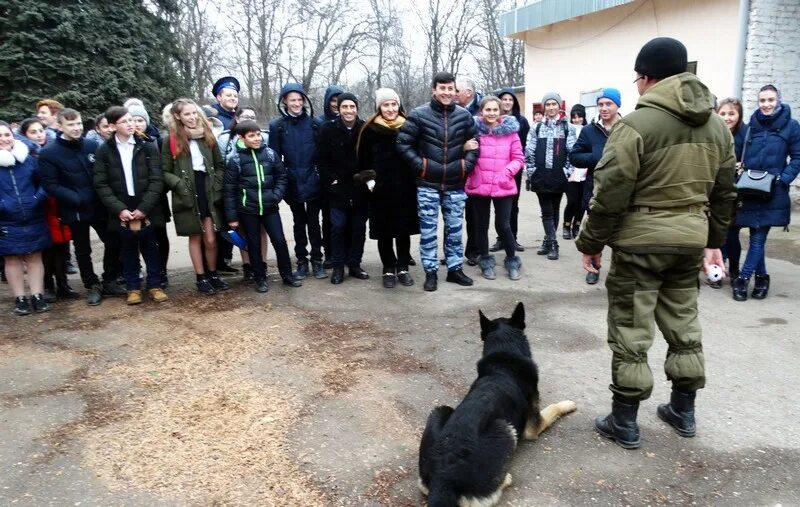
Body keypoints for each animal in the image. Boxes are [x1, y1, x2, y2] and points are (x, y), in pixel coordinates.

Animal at [418, 304, 576, 506]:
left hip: (440, 410)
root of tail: (443, 478)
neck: (504, 359)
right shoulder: (533, 425)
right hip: (505, 427)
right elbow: (553, 408)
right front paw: (568, 404)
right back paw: (505, 479)